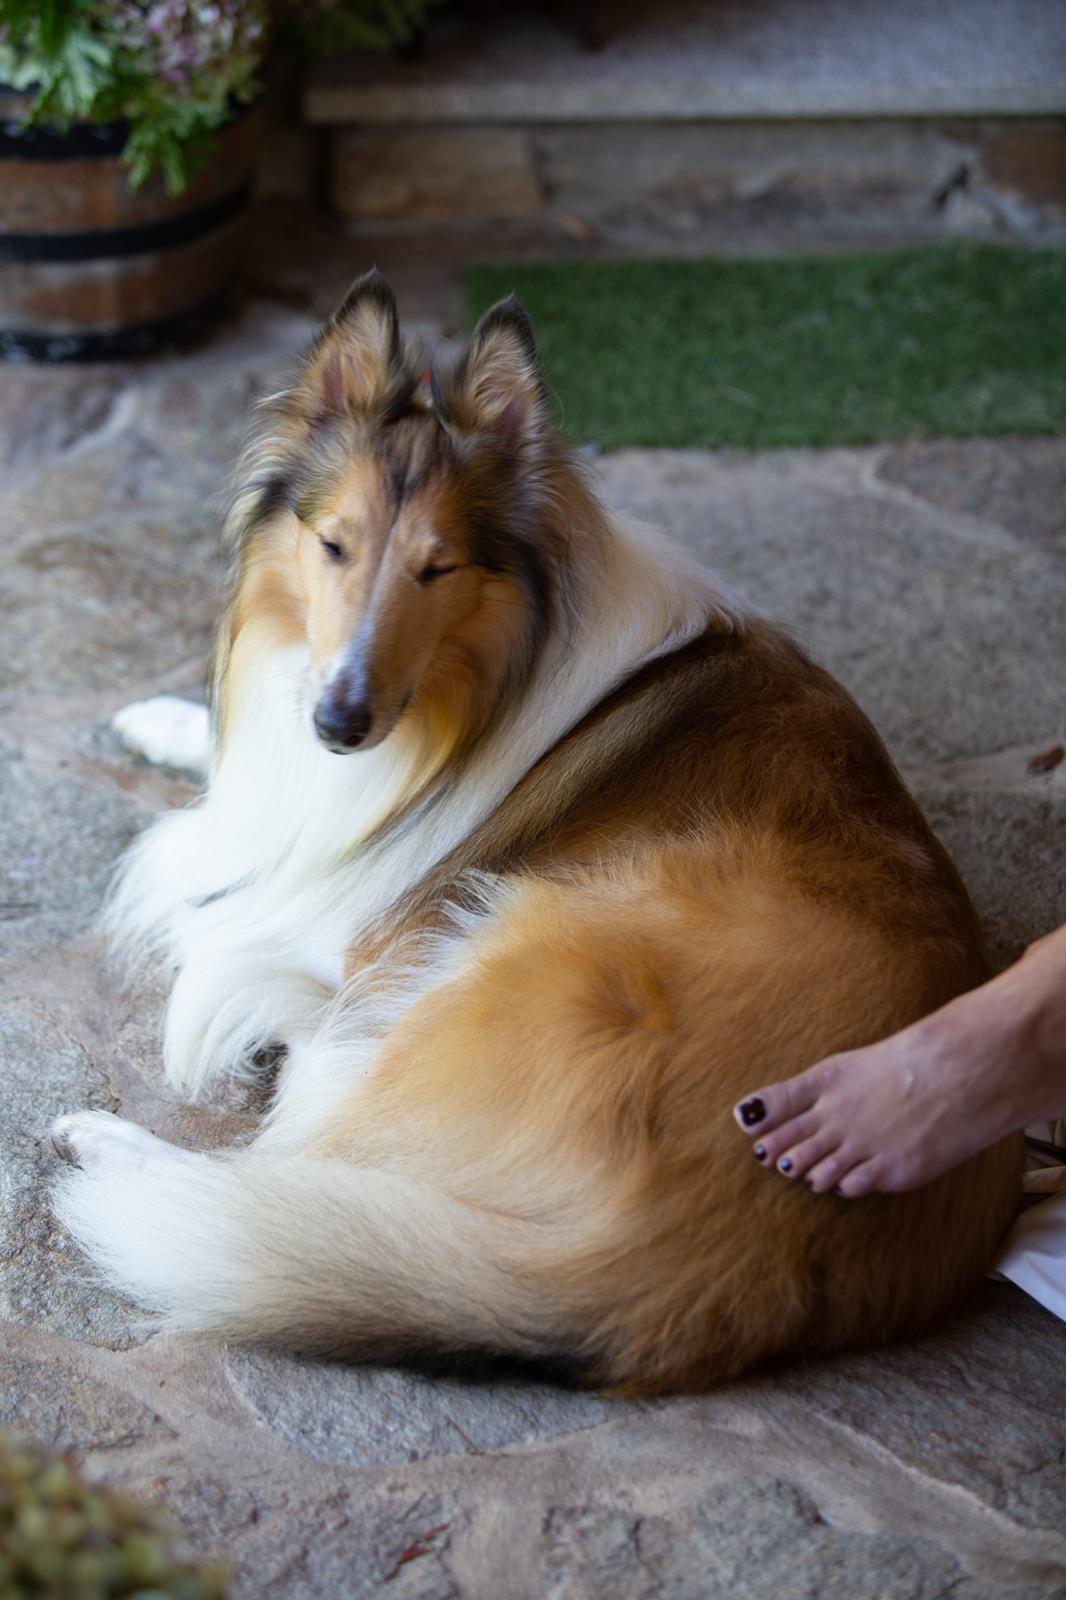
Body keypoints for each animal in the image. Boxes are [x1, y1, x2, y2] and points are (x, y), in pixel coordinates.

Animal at [54, 275, 1017, 1388]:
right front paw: (159, 723)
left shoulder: (352, 923)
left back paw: (111, 1144)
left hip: (509, 959)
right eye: (333, 544)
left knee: (275, 1173)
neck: (482, 680)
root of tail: (694, 1278)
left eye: (437, 568)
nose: (340, 722)